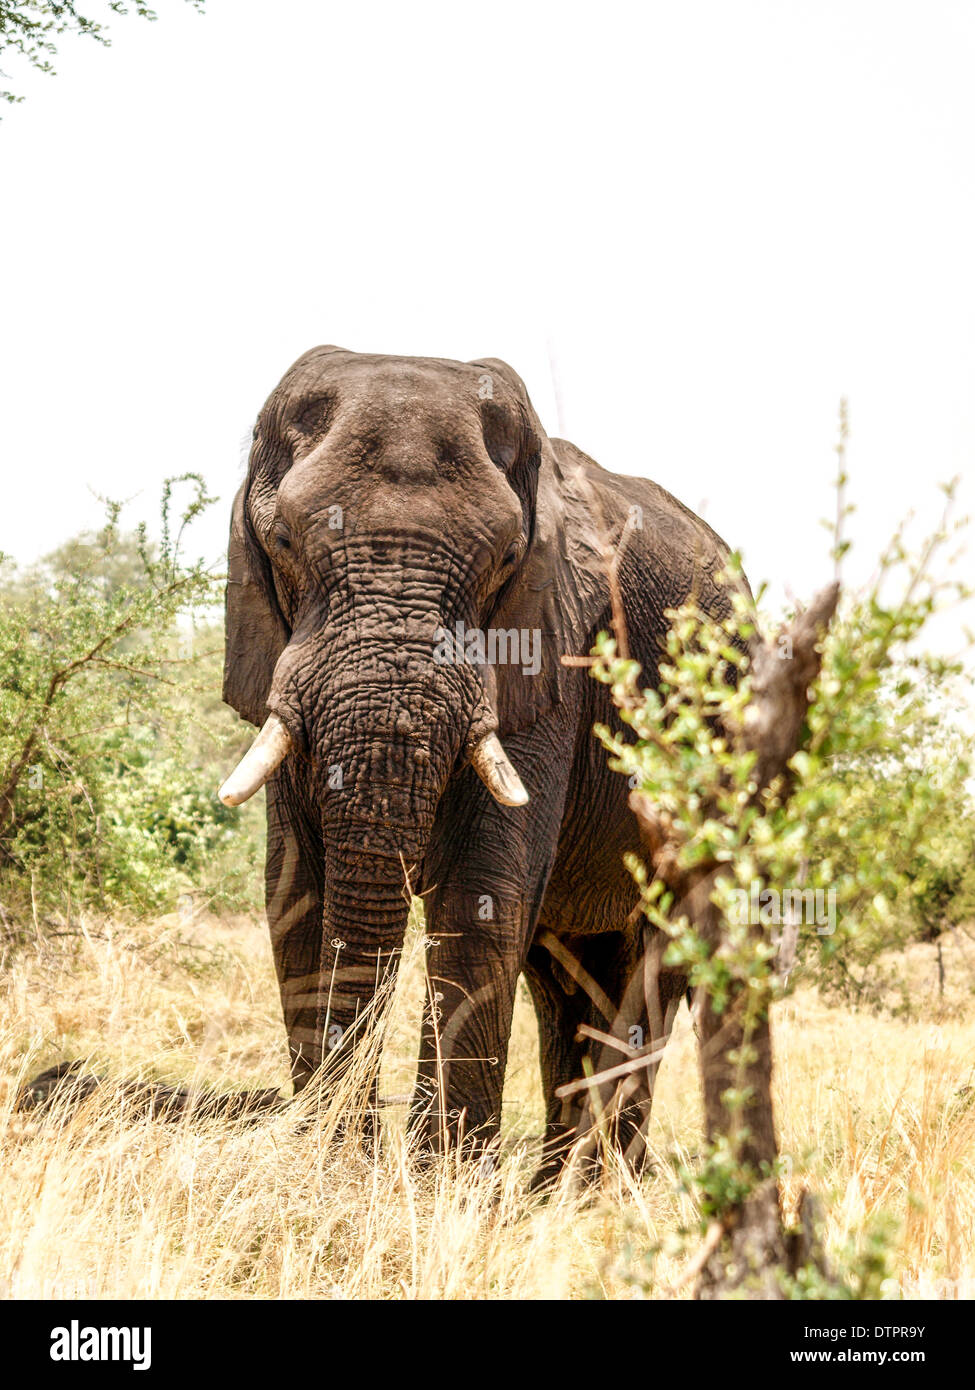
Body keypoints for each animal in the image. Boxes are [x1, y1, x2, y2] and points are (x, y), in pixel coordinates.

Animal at [221, 344, 739, 1173]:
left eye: (504, 559)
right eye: (284, 545)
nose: (355, 1140)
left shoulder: (551, 649)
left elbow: (478, 891)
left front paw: (437, 1182)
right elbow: (295, 890)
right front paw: (334, 1168)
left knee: (654, 970)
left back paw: (601, 1189)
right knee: (567, 983)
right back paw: (550, 1188)